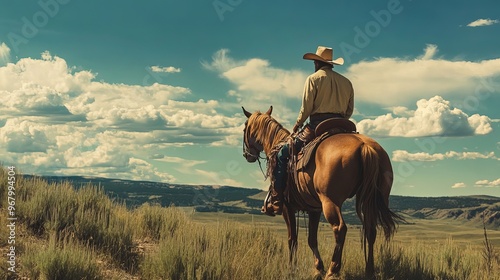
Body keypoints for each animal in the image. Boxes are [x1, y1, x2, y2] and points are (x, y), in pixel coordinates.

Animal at [242, 106, 402, 278]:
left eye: (244, 128)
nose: (247, 155)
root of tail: (365, 146)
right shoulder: (314, 209)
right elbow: (312, 239)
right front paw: (318, 268)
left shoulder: (287, 207)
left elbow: (292, 239)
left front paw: (291, 268)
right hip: (370, 200)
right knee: (371, 229)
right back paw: (369, 271)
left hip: (330, 201)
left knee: (340, 229)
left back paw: (333, 271)